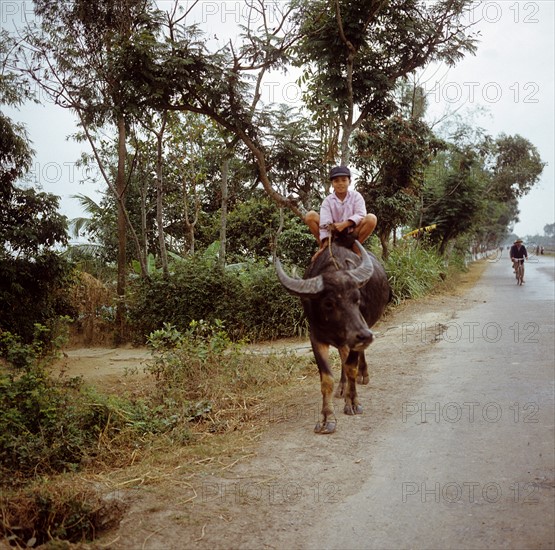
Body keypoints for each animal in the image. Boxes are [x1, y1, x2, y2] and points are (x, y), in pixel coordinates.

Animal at [274, 240, 390, 436]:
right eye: (328, 303)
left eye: (357, 298)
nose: (365, 335)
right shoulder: (316, 338)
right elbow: (327, 379)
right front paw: (327, 418)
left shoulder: (356, 336)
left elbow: (351, 367)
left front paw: (353, 402)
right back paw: (342, 388)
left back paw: (362, 375)